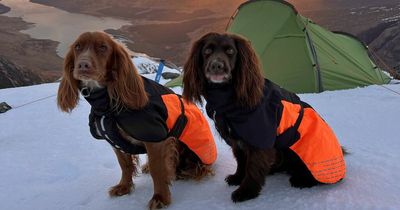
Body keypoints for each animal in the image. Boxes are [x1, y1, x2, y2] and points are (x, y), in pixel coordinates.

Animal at [57, 32, 216, 209]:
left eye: (103, 47)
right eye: (78, 47)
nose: (83, 65)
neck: (108, 103)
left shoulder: (156, 139)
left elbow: (157, 170)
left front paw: (161, 198)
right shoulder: (116, 142)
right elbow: (125, 165)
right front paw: (124, 187)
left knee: (197, 167)